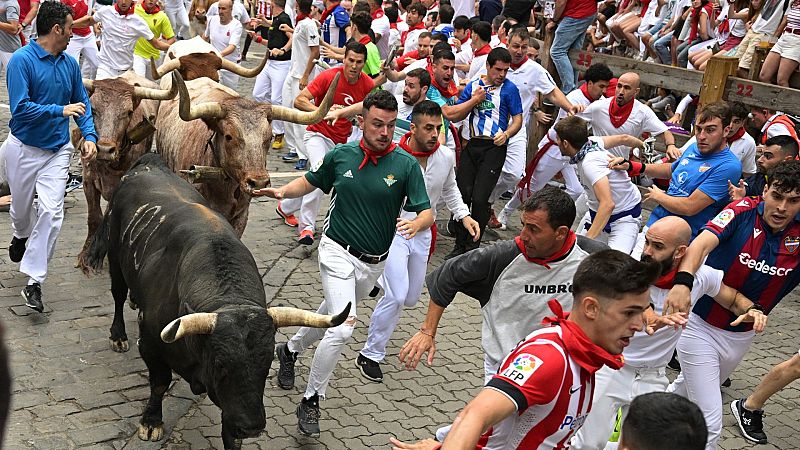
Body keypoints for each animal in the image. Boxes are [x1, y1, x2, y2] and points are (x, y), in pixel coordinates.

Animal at [73, 73, 177, 270]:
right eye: (93, 109)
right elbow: (94, 216)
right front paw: (85, 253)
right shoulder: (88, 180)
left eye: (128, 112)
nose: (104, 149)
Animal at [86, 153, 348, 448]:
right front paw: (151, 422)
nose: (252, 427)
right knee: (118, 295)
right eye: (221, 363)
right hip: (115, 258)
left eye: (267, 361)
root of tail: (149, 162)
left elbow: (228, 426)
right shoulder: (151, 344)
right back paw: (118, 335)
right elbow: (160, 383)